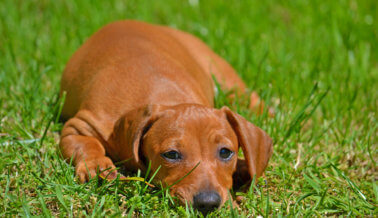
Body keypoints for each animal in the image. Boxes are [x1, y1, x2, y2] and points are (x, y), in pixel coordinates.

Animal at [59, 20, 272, 215]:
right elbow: (87, 144)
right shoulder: (80, 126)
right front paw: (97, 166)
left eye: (226, 152)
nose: (208, 204)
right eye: (171, 154)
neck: (167, 95)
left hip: (224, 77)